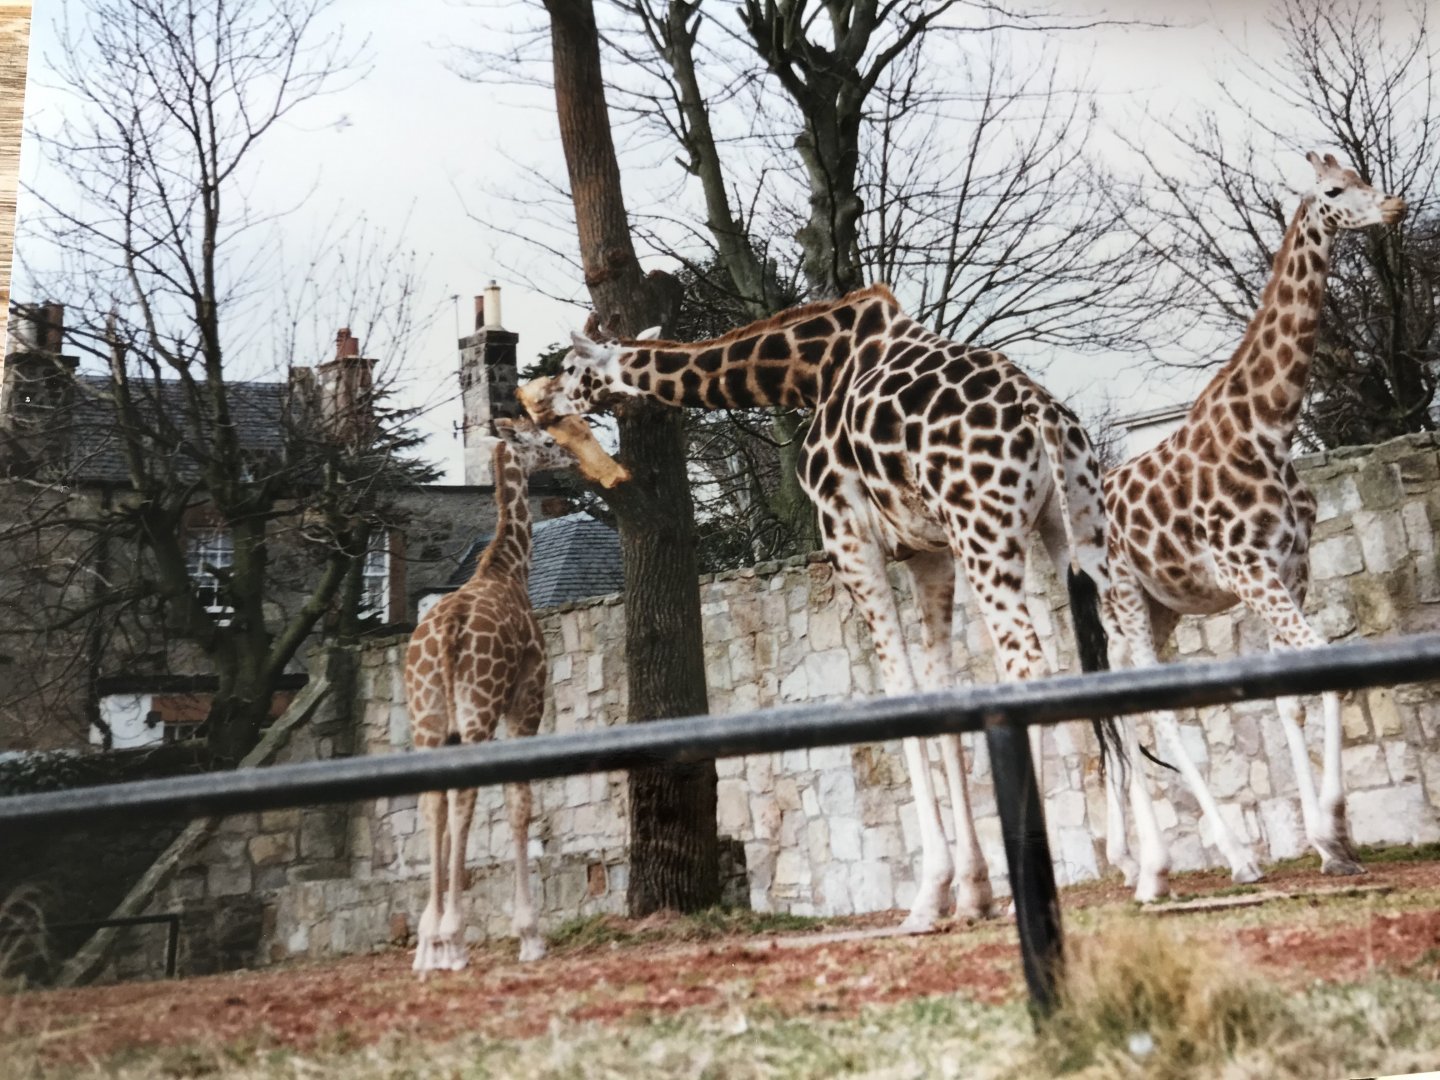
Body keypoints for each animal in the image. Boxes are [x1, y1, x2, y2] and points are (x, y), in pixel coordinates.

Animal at [404, 416, 575, 973]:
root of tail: (444, 634)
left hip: (428, 718)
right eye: (545, 440)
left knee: (433, 802)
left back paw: (429, 945)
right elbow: (520, 803)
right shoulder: (527, 701)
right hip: (478, 708)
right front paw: (529, 934)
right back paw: (455, 940)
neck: (509, 567)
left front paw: (430, 941)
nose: (570, 455)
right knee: (464, 799)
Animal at [517, 285, 1131, 927]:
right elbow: (941, 691)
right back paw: (1138, 864)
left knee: (1028, 661)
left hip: (985, 530)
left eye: (570, 368)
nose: (535, 401)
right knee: (1114, 648)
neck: (809, 372)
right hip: (1072, 523)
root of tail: (1042, 415)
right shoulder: (927, 552)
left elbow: (903, 693)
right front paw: (971, 893)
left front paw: (931, 895)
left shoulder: (848, 535)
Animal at [1100, 152, 1407, 896]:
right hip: (1122, 596)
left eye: (1363, 177)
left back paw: (1140, 866)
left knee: (1120, 708)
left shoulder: (1292, 568)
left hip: (1156, 607)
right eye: (1335, 189)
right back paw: (1218, 861)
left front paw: (1331, 844)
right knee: (1150, 709)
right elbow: (1329, 669)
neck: (1269, 427)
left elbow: (1294, 692)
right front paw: (1331, 831)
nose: (1395, 207)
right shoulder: (1250, 569)